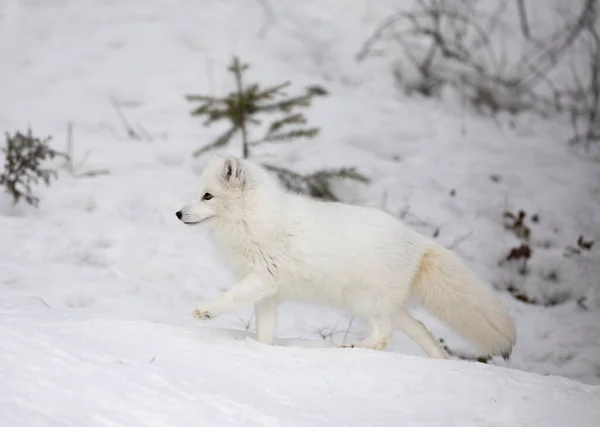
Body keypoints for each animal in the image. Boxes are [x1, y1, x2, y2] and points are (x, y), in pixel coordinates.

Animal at [175, 155, 516, 360]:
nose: (178, 214)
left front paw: (206, 311)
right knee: (418, 328)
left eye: (208, 196)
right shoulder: (268, 295)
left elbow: (231, 297)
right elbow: (265, 333)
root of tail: (416, 240)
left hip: (363, 301)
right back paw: (439, 361)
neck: (251, 220)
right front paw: (260, 351)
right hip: (388, 306)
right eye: (197, 194)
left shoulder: (263, 278)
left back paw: (351, 347)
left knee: (384, 335)